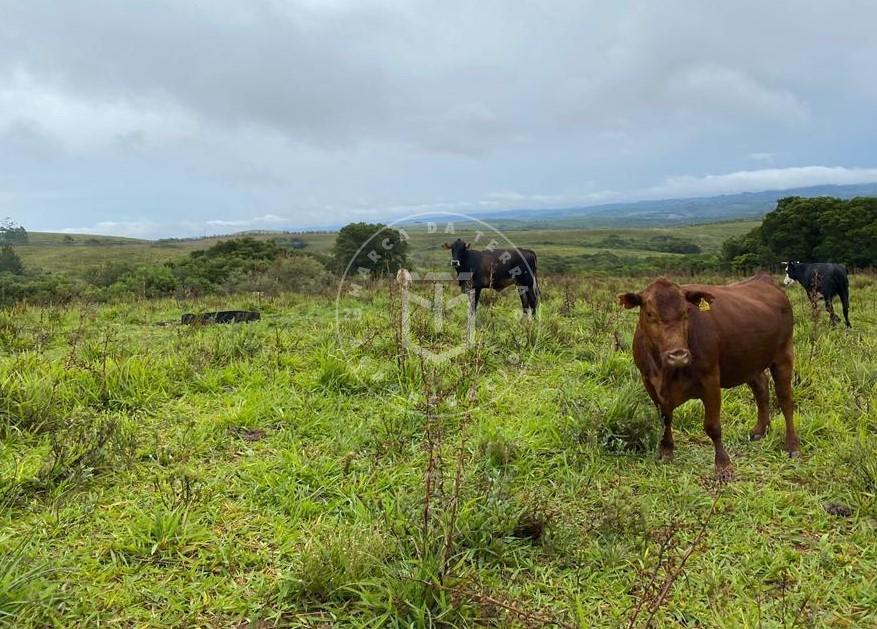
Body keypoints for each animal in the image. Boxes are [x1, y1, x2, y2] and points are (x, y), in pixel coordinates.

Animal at [616, 274, 800, 480]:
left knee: (785, 400)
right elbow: (665, 418)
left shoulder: (710, 379)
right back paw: (761, 430)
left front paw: (723, 465)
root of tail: (764, 279)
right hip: (748, 360)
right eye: (649, 314)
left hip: (784, 356)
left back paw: (792, 445)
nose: (678, 355)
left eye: (686, 313)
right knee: (761, 388)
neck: (665, 372)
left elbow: (713, 426)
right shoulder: (648, 381)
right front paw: (666, 449)